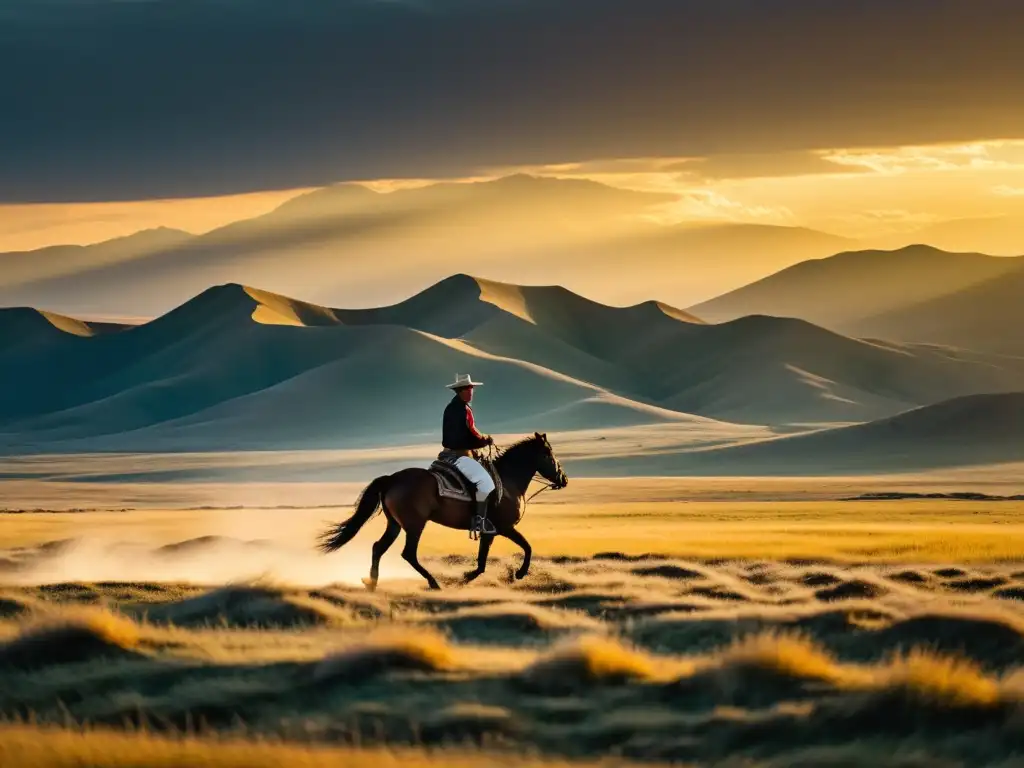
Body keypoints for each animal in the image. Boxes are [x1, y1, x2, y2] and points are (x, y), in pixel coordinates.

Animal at [317, 436, 569, 593]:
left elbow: (483, 560)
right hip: (414, 525)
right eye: (550, 454)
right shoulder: (504, 528)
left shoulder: (489, 532)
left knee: (378, 547)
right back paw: (434, 583)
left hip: (395, 524)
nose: (564, 479)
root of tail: (392, 479)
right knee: (408, 554)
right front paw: (519, 573)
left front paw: (468, 576)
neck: (508, 481)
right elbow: (527, 547)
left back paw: (372, 583)